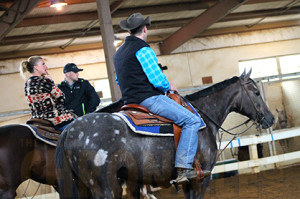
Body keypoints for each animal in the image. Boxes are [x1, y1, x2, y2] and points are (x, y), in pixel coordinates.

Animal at [55, 70, 274, 198]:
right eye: (256, 92)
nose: (271, 118)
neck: (204, 118)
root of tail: (70, 130)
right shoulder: (200, 177)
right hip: (105, 186)